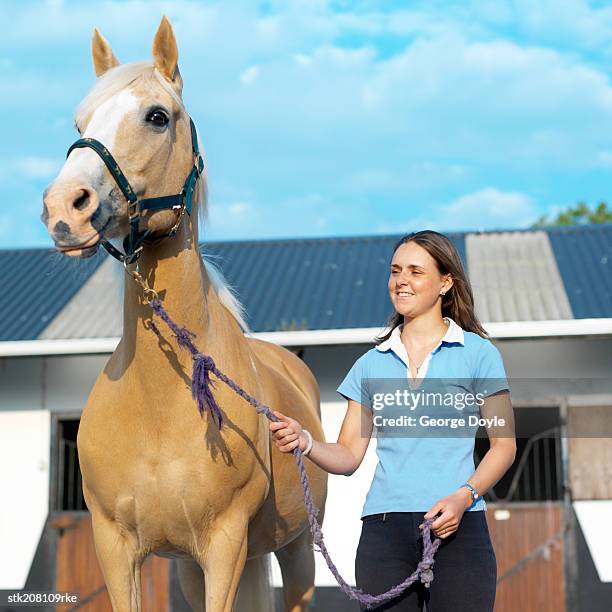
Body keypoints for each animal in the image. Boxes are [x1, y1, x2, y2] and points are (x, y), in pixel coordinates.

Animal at [41, 16, 330, 608]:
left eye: (158, 116)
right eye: (80, 121)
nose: (63, 209)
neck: (159, 404)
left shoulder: (224, 545)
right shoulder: (120, 549)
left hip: (294, 552)